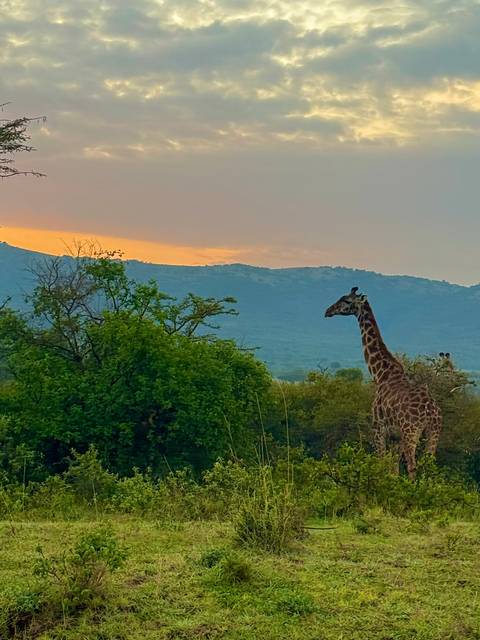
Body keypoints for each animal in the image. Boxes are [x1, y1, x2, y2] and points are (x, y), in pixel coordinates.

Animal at [324, 287, 442, 479]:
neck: (380, 374)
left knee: (412, 465)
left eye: (346, 300)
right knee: (428, 464)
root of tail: (430, 411)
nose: (328, 311)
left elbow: (381, 462)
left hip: (411, 430)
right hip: (434, 431)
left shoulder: (378, 428)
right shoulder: (395, 436)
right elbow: (393, 469)